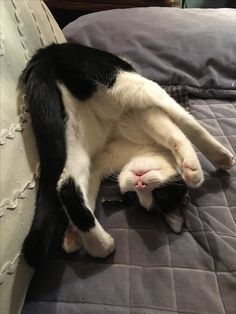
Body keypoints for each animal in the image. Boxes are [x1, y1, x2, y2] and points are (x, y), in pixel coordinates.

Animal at [21, 42, 235, 268]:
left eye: (159, 194)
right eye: (137, 196)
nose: (140, 183)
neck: (137, 148)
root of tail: (47, 51)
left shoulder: (100, 161)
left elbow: (89, 191)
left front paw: (72, 235)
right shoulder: (144, 115)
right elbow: (181, 130)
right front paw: (198, 167)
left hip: (73, 133)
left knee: (66, 185)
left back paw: (99, 245)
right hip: (124, 80)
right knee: (169, 106)